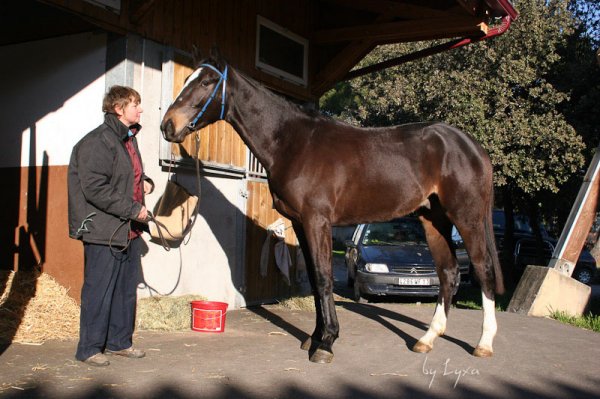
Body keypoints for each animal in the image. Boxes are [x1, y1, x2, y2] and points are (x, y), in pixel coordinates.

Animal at [159, 54, 502, 366]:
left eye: (206, 82)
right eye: (188, 79)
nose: (168, 125)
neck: (293, 142)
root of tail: (473, 147)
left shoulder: (317, 221)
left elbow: (324, 278)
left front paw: (326, 343)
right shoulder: (300, 223)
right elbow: (313, 279)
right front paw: (314, 336)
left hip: (467, 217)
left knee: (483, 269)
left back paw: (484, 344)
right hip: (433, 219)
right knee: (448, 273)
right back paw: (427, 339)